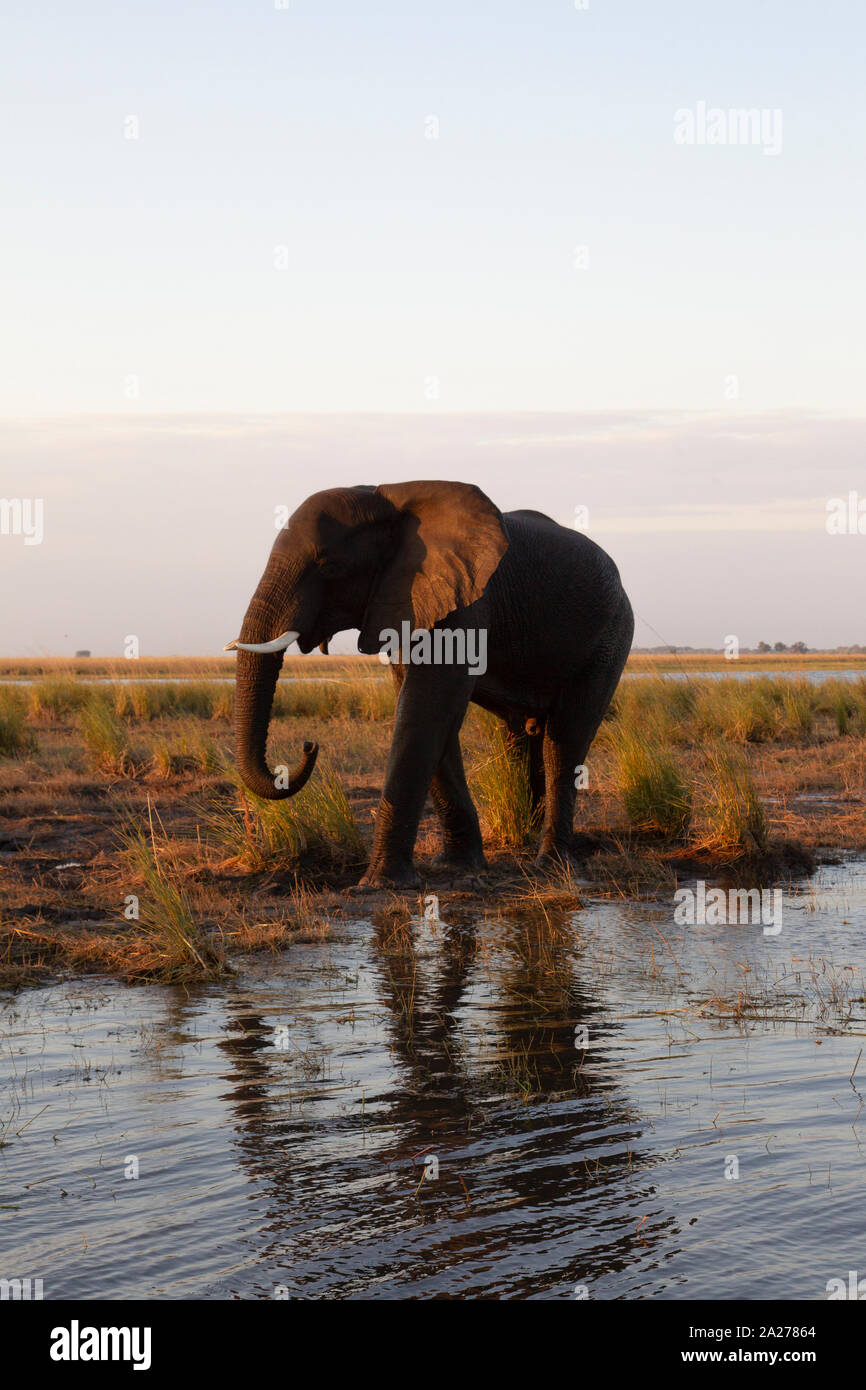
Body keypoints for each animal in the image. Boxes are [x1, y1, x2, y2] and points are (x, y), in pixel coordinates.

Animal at [226, 478, 633, 889]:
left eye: (329, 566)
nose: (309, 746)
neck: (389, 500)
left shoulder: (464, 603)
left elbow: (427, 708)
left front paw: (381, 884)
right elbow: (429, 714)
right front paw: (456, 866)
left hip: (611, 636)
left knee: (565, 740)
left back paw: (551, 864)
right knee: (521, 737)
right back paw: (527, 837)